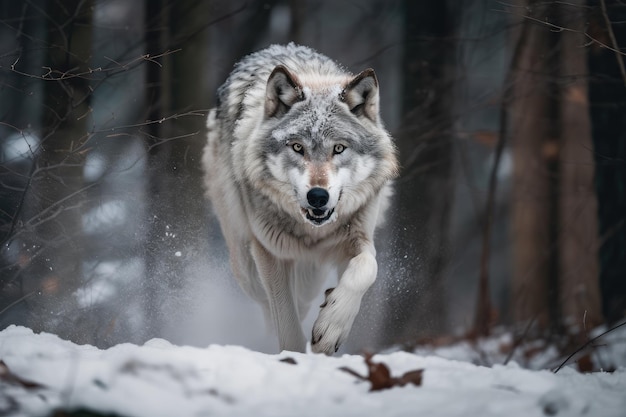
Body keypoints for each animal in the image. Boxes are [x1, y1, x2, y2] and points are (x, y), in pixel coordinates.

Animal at [205, 43, 398, 354]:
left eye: (339, 148)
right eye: (297, 147)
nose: (317, 196)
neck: (313, 232)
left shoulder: (358, 239)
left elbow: (367, 268)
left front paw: (331, 326)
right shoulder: (271, 253)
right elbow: (286, 320)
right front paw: (293, 356)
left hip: (310, 275)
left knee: (305, 298)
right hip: (247, 267)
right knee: (268, 305)